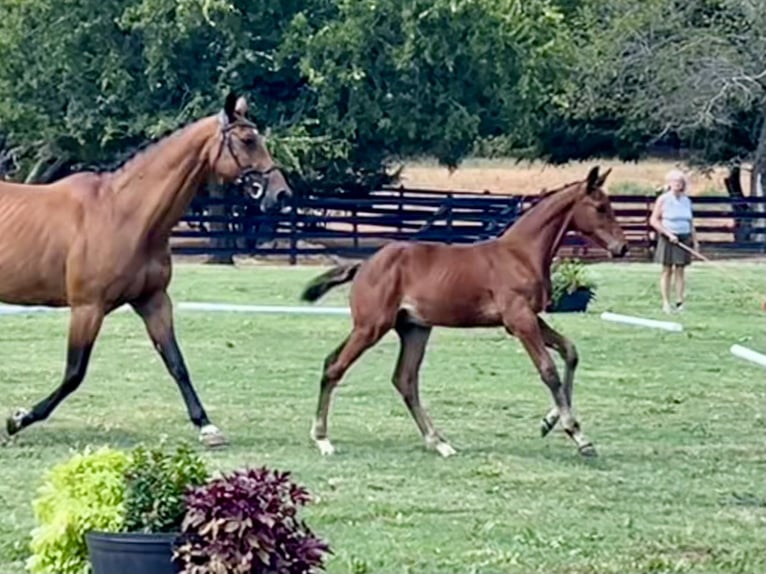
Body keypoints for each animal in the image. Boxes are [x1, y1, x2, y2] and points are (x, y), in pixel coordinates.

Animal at [0, 92, 292, 448]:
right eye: (248, 140)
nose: (281, 193)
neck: (125, 214)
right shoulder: (87, 308)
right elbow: (74, 373)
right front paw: (19, 419)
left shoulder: (153, 301)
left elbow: (176, 363)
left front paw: (207, 426)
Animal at [300, 165, 632, 460]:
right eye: (600, 207)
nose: (623, 247)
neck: (521, 254)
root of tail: (364, 265)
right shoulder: (520, 320)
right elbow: (548, 370)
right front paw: (577, 434)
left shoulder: (528, 318)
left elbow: (570, 352)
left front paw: (549, 423)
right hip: (371, 327)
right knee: (336, 368)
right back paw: (323, 439)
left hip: (414, 328)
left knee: (402, 379)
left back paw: (439, 443)